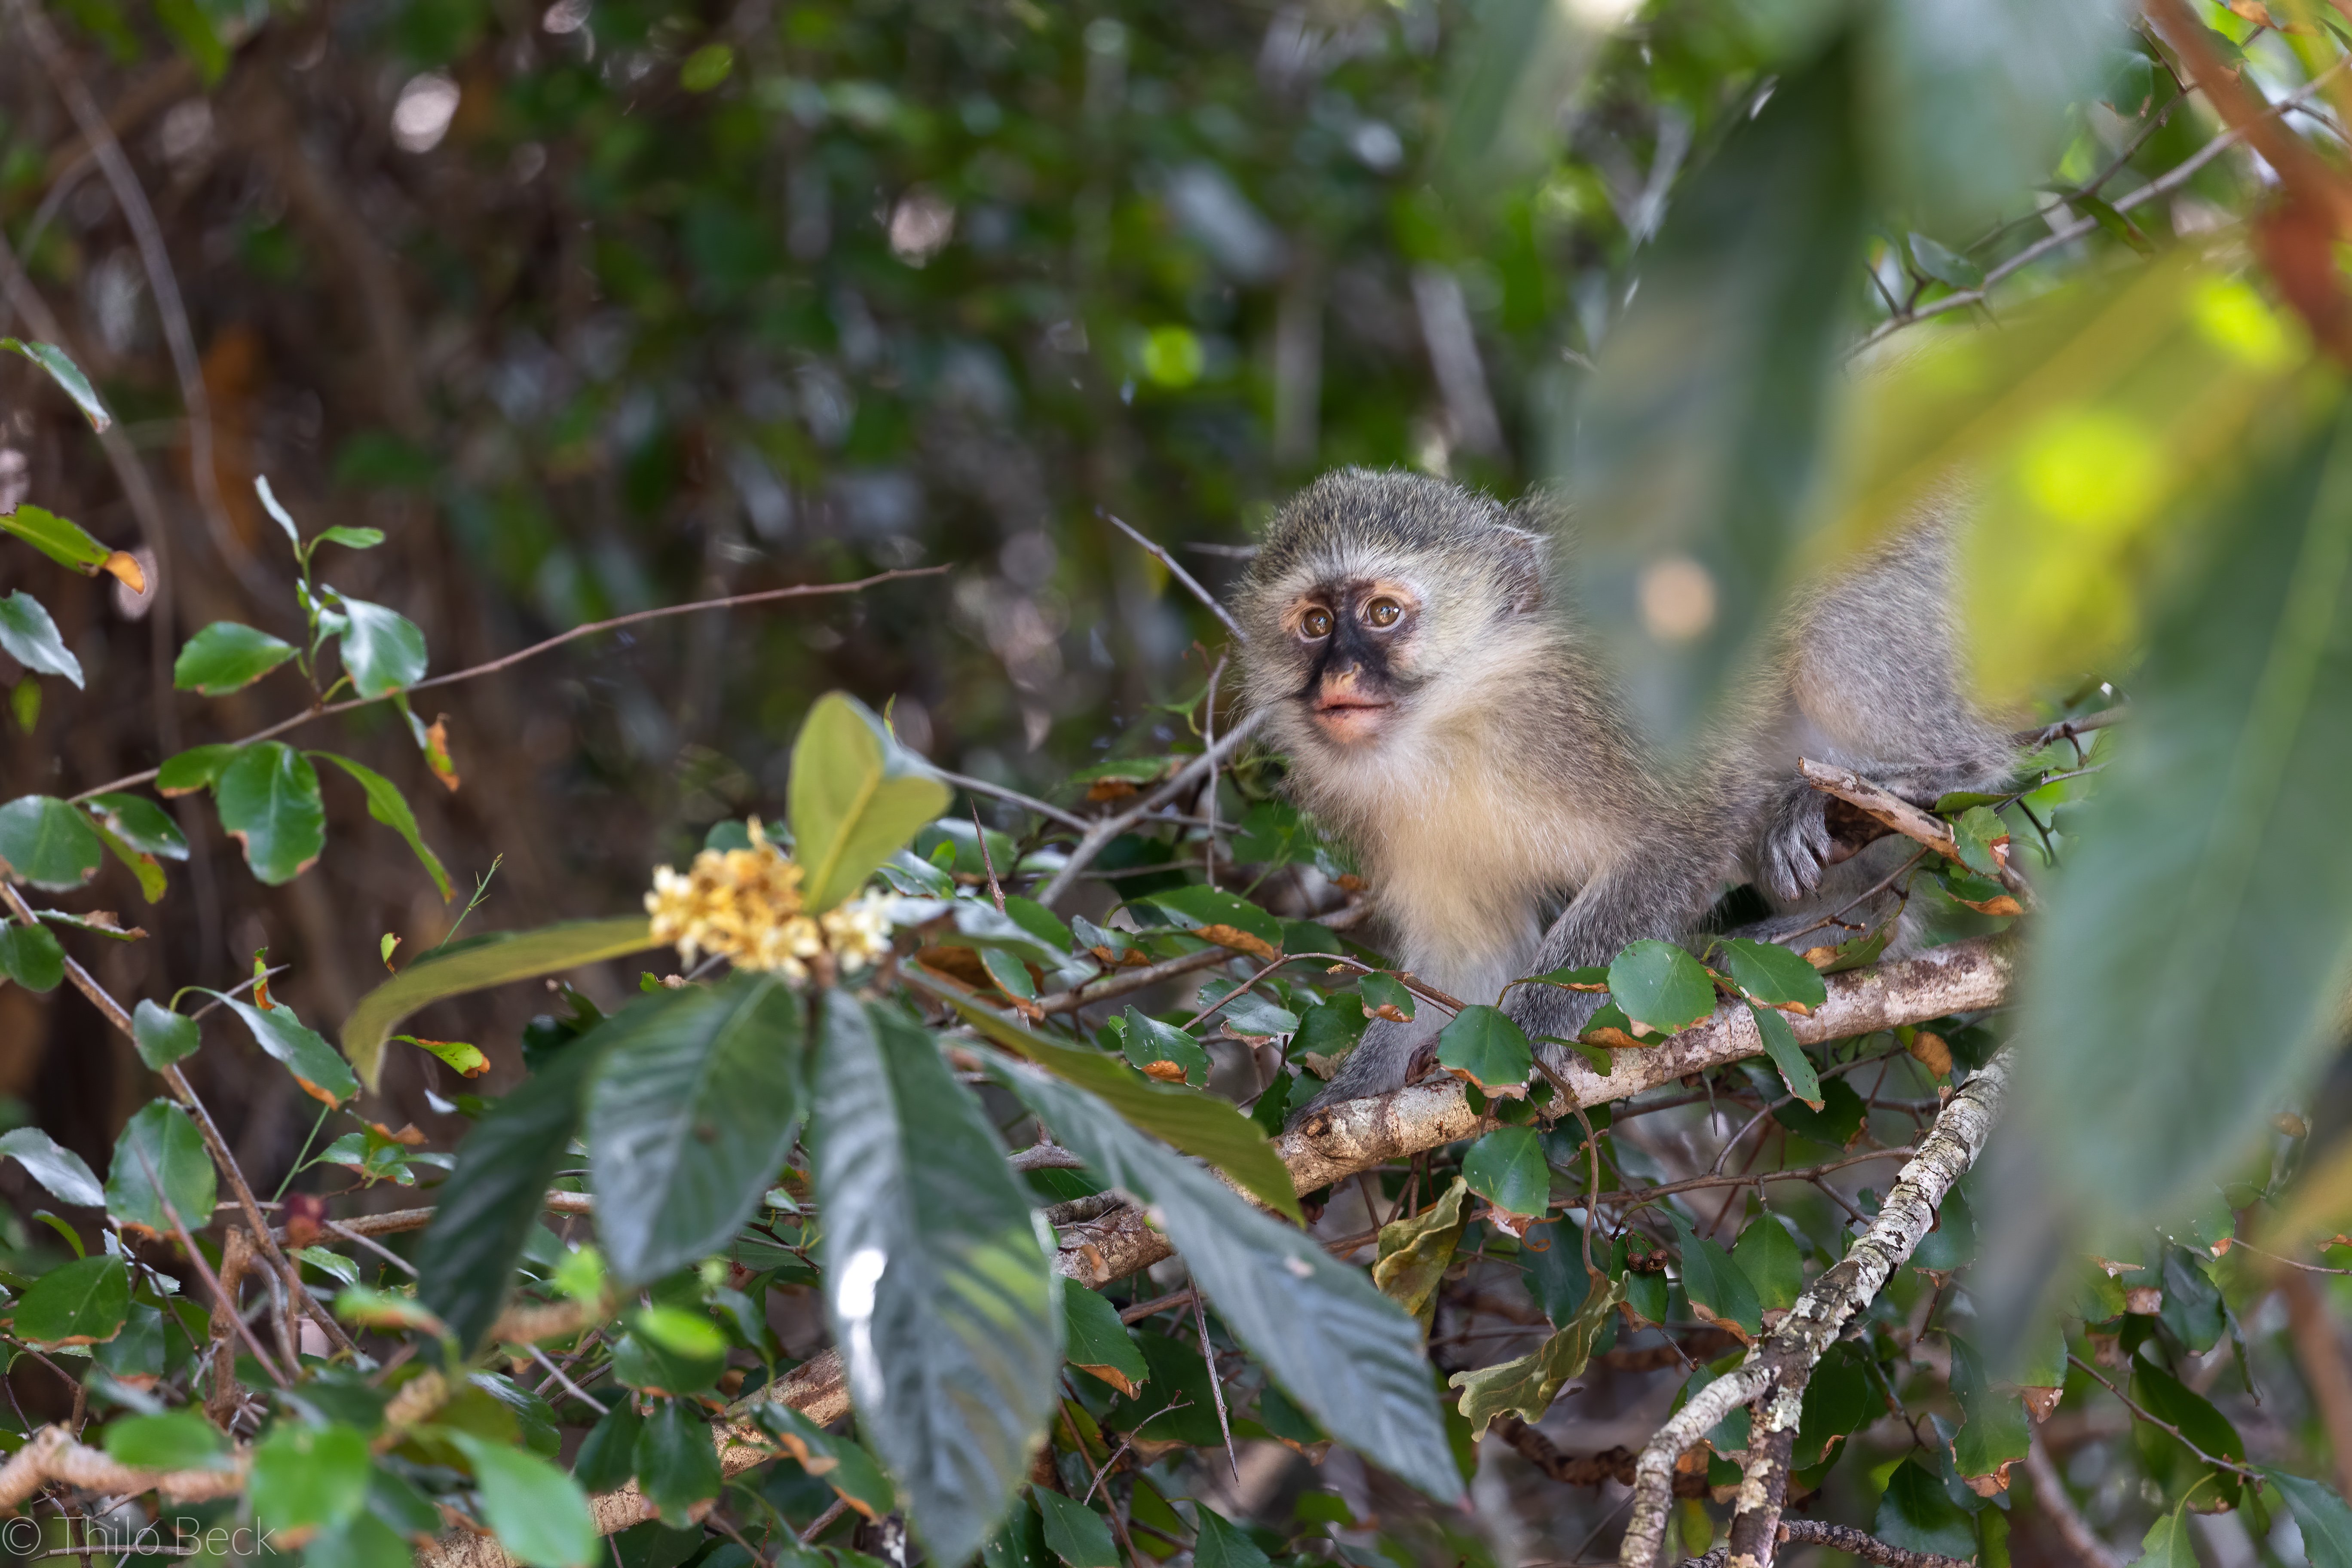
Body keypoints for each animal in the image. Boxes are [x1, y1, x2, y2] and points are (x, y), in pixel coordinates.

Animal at [1232, 472, 2022, 1109]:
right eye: (1315, 624)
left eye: (1382, 614)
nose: (1339, 678)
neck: (1454, 721)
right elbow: (1466, 958)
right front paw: (1340, 1106)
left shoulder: (1597, 720)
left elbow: (1694, 820)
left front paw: (1530, 1035)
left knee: (1835, 640)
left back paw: (1937, 776)